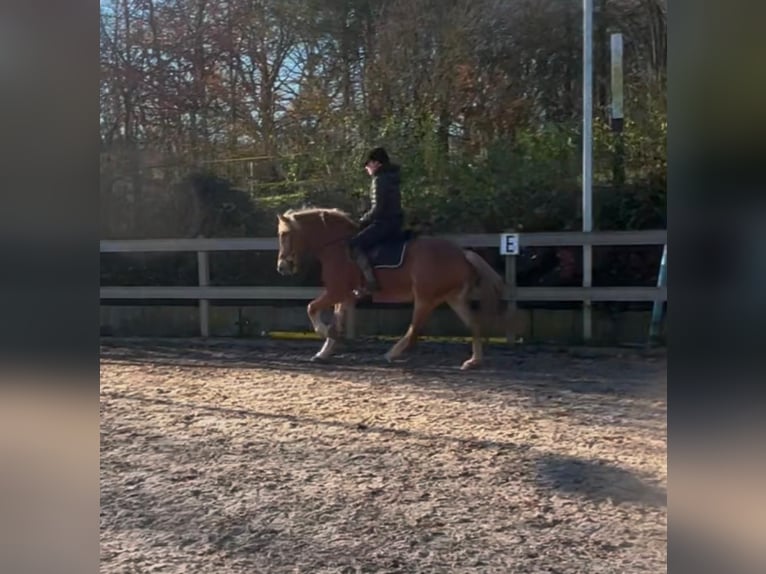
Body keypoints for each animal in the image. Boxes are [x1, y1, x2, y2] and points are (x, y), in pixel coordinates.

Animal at [274, 209, 504, 372]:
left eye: (285, 234)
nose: (281, 267)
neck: (337, 246)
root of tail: (462, 254)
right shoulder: (345, 296)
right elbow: (336, 321)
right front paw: (325, 351)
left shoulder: (336, 291)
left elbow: (311, 308)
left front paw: (323, 333)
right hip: (453, 298)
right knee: (474, 324)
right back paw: (474, 361)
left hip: (425, 299)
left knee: (414, 331)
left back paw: (391, 354)